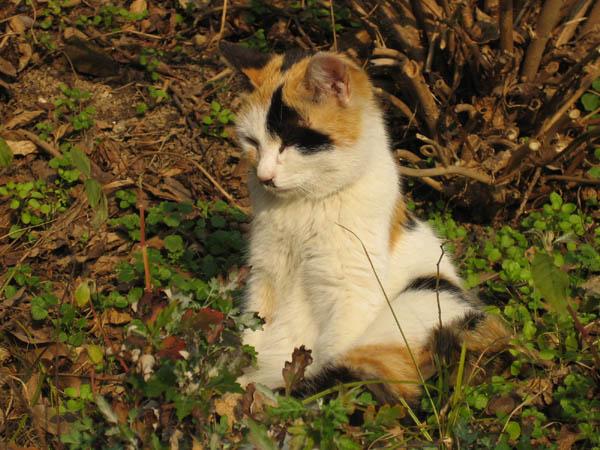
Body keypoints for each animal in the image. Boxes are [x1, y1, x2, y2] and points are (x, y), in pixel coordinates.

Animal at [218, 41, 508, 400]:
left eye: (291, 143)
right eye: (252, 143)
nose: (264, 176)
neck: (304, 207)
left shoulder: (351, 290)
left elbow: (328, 359)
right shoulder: (265, 275)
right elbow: (254, 333)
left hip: (426, 295)